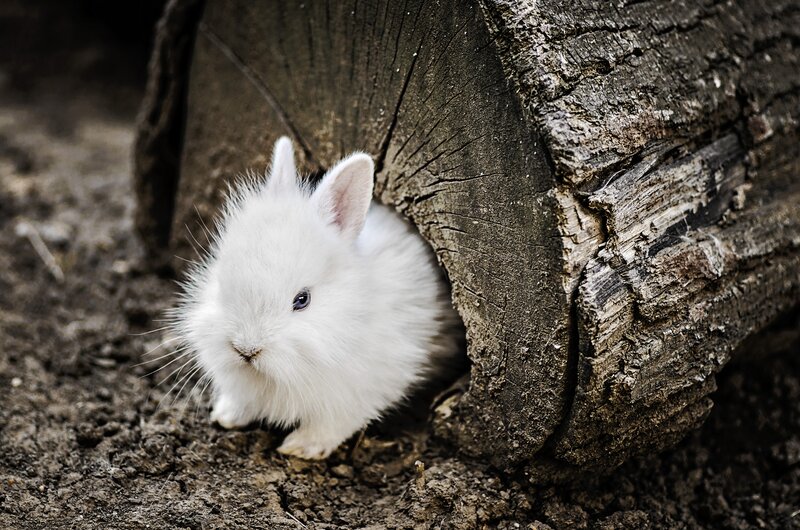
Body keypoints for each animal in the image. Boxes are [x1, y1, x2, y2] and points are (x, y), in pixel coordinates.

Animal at [170, 136, 462, 459]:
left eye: (302, 300)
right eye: (221, 281)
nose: (245, 350)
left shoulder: (361, 390)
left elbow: (330, 425)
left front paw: (299, 448)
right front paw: (226, 417)